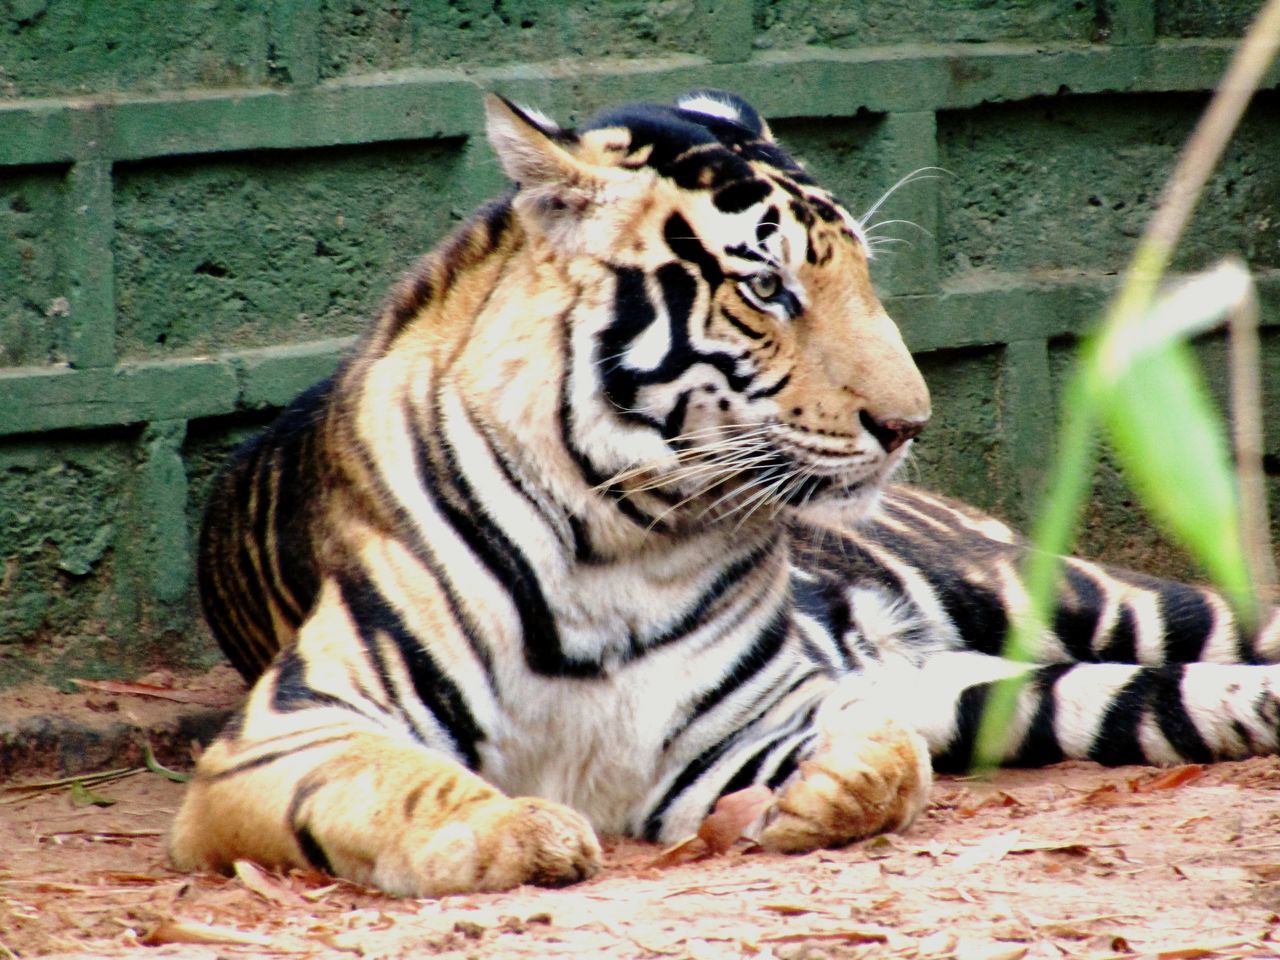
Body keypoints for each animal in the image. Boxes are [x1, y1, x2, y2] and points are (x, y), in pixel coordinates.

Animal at [172, 90, 1280, 901]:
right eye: (764, 288)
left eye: (858, 278)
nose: (910, 423)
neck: (613, 540)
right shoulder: (290, 726)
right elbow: (392, 780)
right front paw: (517, 829)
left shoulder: (737, 724)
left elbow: (879, 744)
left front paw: (831, 784)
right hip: (1017, 692)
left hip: (1066, 592)